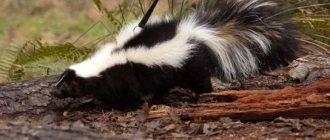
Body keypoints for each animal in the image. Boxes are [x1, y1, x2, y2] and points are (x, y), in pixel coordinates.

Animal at [54, 0, 300, 109]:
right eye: (60, 81)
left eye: (65, 85)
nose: (52, 91)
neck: (102, 66)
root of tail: (196, 32)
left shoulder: (123, 76)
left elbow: (128, 94)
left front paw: (124, 106)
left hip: (190, 63)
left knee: (200, 80)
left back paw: (199, 96)